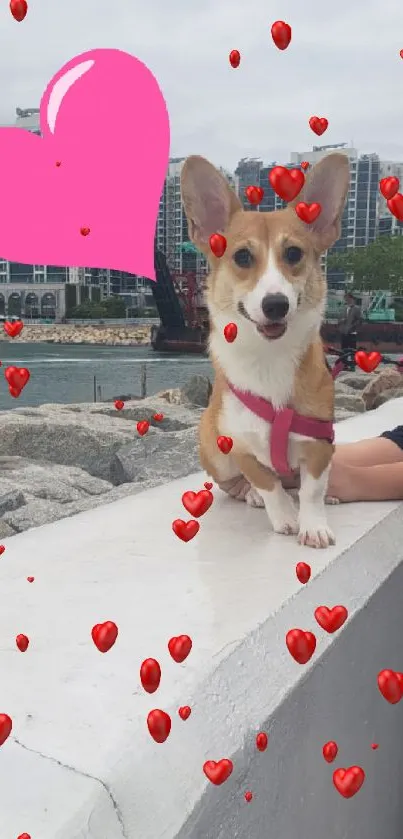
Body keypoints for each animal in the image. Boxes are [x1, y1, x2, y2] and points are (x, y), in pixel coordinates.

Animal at [182, 153, 350, 548]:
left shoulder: (320, 444)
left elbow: (311, 490)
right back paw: (252, 496)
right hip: (211, 446)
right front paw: (284, 515)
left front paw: (312, 524)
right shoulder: (238, 446)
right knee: (235, 485)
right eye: (243, 257)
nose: (276, 304)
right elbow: (267, 482)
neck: (269, 358)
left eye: (294, 253)